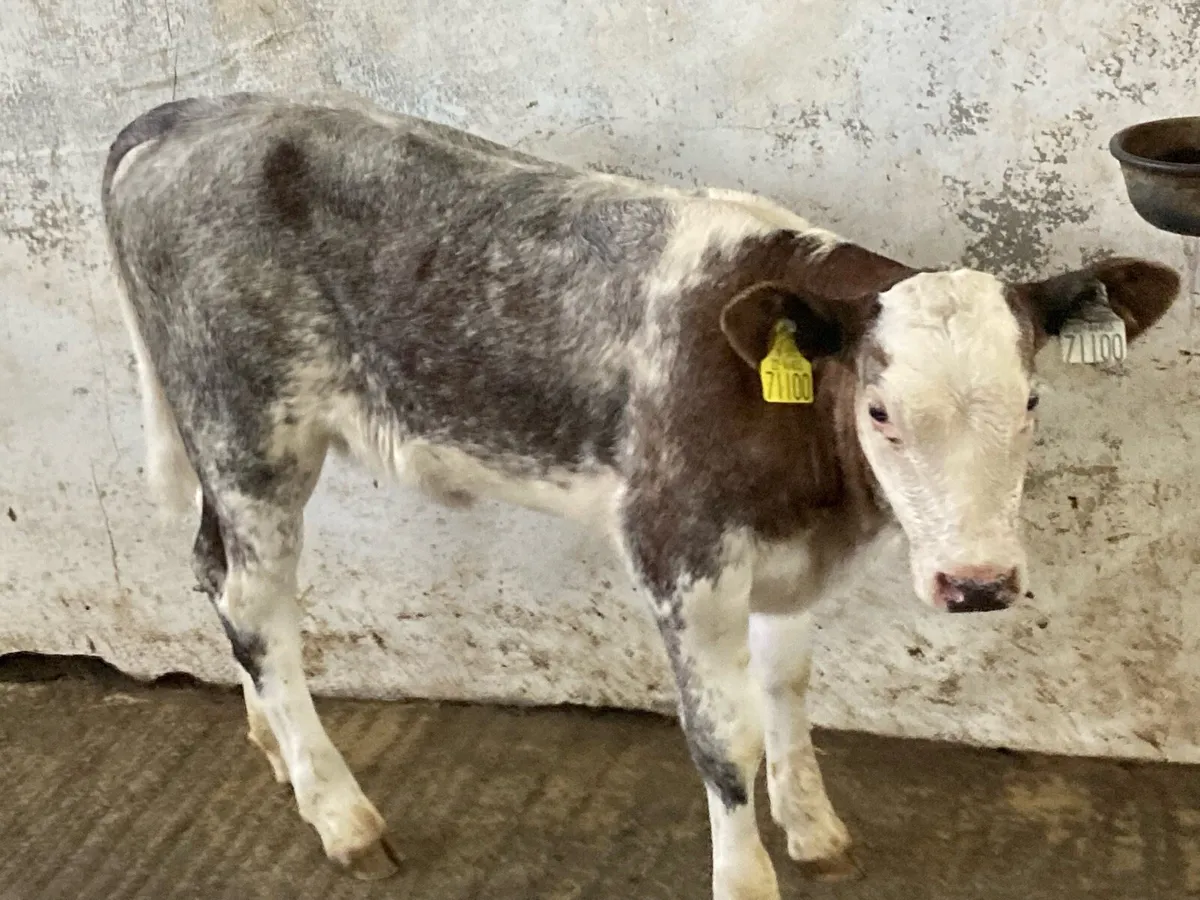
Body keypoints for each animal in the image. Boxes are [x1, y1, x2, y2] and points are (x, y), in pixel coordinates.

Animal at [101, 92, 1179, 900]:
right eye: (879, 411)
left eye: (1032, 399)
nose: (979, 583)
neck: (810, 475)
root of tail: (190, 113)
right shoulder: (680, 551)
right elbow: (725, 738)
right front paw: (747, 882)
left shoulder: (786, 554)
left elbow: (788, 691)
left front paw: (817, 832)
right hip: (249, 428)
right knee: (255, 603)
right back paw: (341, 813)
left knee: (211, 570)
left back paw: (274, 750)